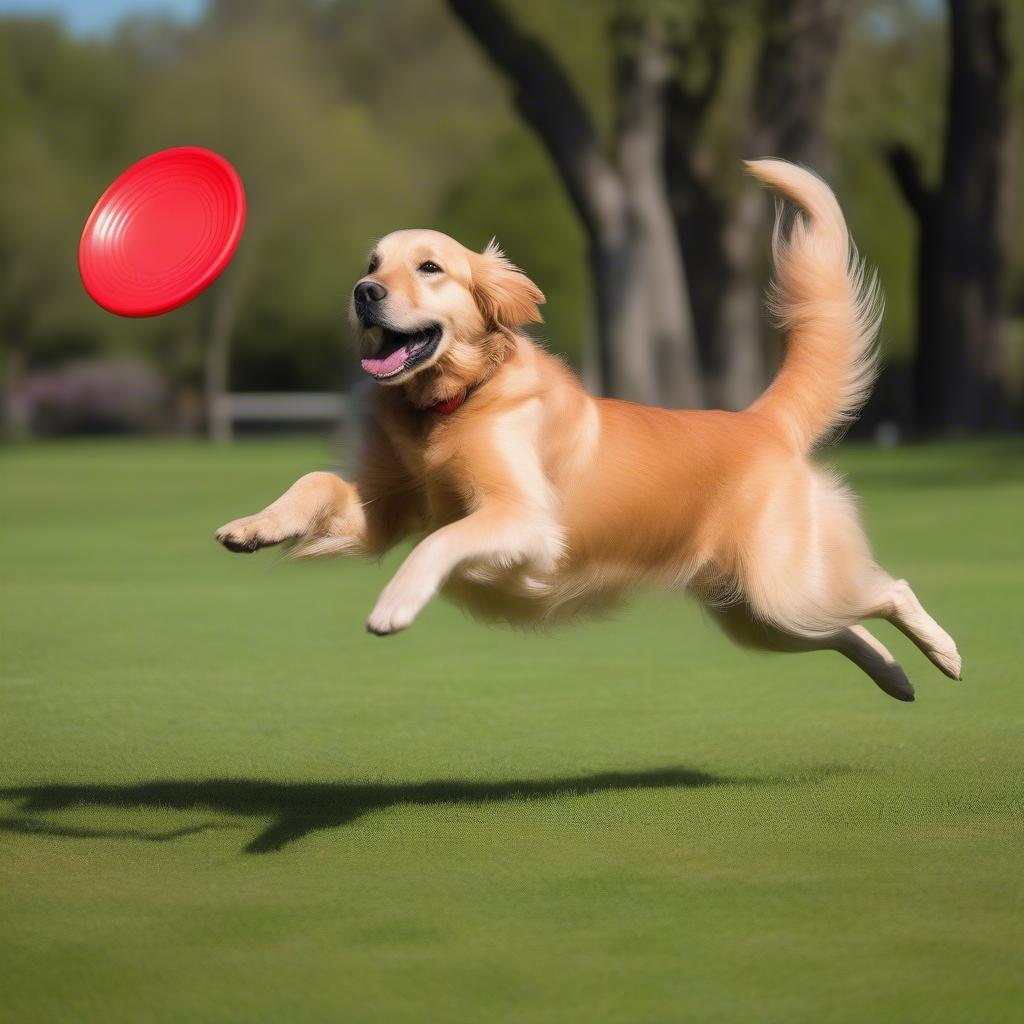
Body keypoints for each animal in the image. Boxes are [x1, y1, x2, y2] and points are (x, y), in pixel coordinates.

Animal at [214, 159, 958, 704]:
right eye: (372, 264)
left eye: (429, 267)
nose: (363, 293)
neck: (448, 407)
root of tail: (760, 421)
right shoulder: (380, 511)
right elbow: (317, 483)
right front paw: (253, 526)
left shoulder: (523, 517)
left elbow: (439, 541)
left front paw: (395, 604)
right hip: (758, 614)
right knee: (847, 631)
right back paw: (897, 678)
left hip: (786, 587)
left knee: (890, 591)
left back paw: (944, 653)